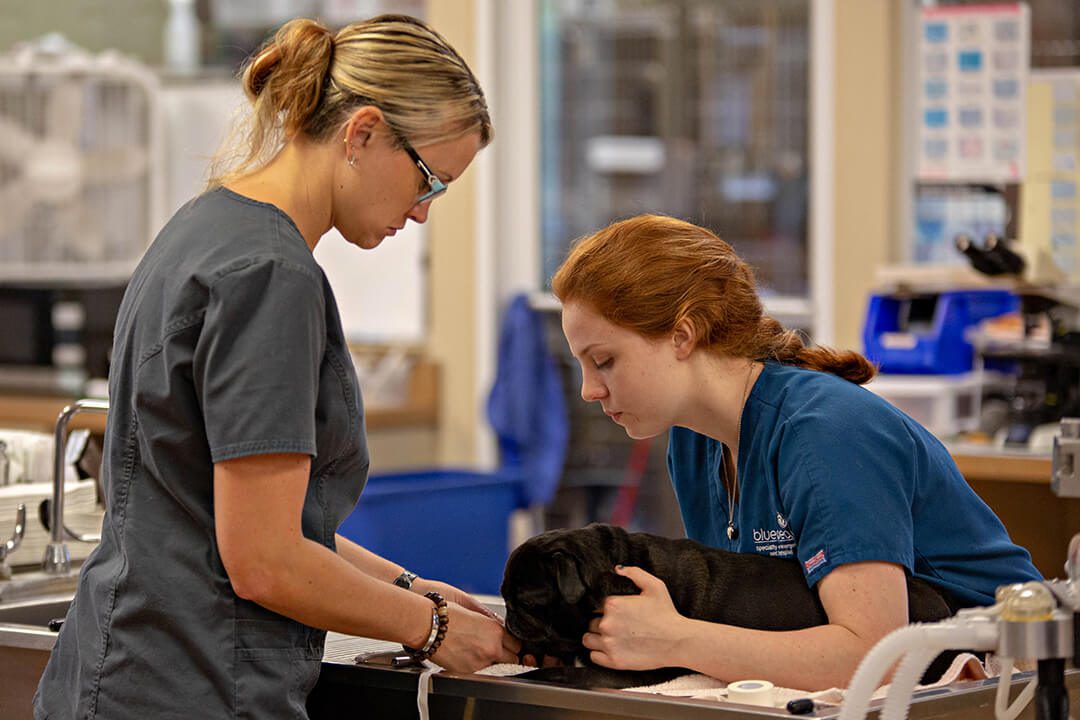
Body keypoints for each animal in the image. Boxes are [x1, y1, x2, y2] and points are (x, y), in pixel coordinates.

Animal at [501, 524, 959, 690]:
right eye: (504, 595)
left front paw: (532, 671)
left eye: (524, 600)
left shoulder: (623, 671)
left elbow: (563, 672)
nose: (509, 616)